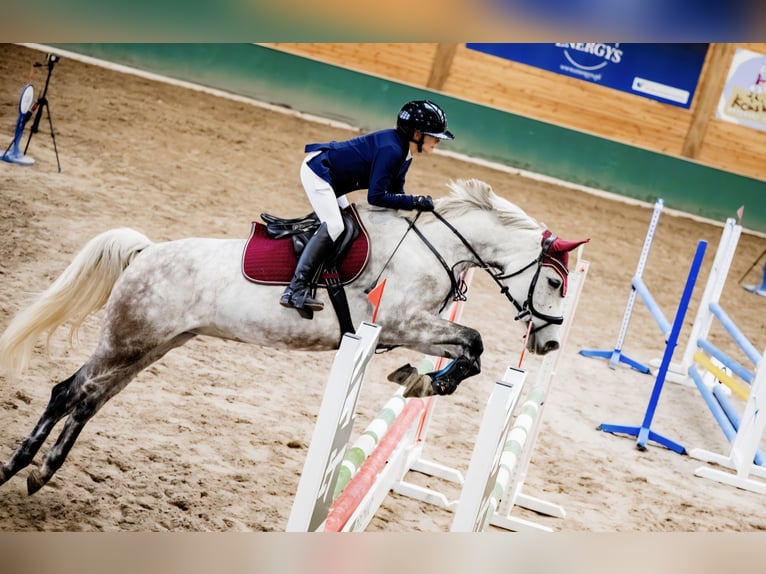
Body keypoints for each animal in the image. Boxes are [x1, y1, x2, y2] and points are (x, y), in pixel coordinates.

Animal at [0, 178, 588, 495]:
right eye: (555, 282)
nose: (550, 346)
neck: (437, 246)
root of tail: (145, 252)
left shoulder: (414, 331)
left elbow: (468, 349)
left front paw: (420, 380)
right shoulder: (402, 323)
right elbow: (475, 341)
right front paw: (423, 381)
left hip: (152, 346)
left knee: (89, 399)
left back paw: (41, 473)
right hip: (128, 341)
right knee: (67, 391)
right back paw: (17, 467)